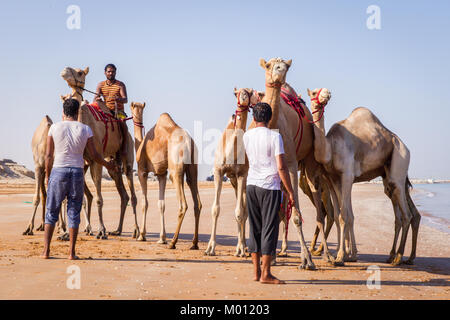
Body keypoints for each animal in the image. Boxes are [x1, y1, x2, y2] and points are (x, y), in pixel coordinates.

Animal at [60, 66, 139, 239]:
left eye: (80, 72)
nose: (64, 71)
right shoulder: (83, 162)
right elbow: (77, 198)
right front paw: (66, 233)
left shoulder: (96, 161)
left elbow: (98, 199)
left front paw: (101, 231)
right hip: (111, 164)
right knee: (123, 194)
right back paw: (117, 230)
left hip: (127, 152)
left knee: (132, 189)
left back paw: (137, 231)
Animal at [129, 101, 201, 249]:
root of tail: (188, 142)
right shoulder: (161, 173)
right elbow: (161, 204)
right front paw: (162, 238)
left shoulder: (142, 171)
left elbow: (145, 203)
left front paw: (141, 235)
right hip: (193, 167)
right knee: (197, 203)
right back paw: (194, 243)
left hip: (175, 170)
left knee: (183, 205)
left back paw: (173, 242)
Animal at [205, 87, 264, 258]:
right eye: (236, 93)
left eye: (250, 91)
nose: (243, 96)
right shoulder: (219, 172)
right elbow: (215, 209)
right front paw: (210, 248)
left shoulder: (242, 174)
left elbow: (239, 212)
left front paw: (241, 248)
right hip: (234, 183)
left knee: (245, 212)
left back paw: (244, 248)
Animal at [308, 87, 420, 264]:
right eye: (313, 93)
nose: (327, 94)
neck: (330, 146)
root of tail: (405, 147)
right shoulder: (333, 179)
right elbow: (341, 215)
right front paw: (346, 254)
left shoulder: (347, 175)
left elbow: (345, 215)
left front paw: (341, 256)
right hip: (388, 175)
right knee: (400, 211)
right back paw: (394, 256)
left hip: (400, 159)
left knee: (406, 214)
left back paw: (399, 257)